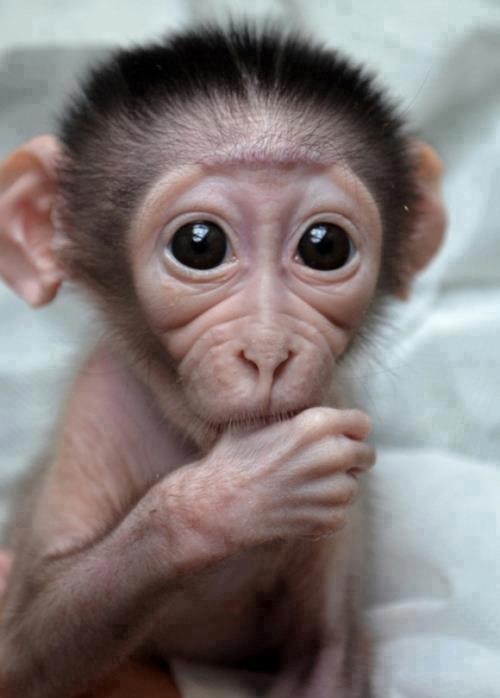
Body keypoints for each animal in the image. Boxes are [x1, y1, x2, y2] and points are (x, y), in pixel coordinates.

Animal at [0, 23, 446, 698]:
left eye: (325, 247)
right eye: (200, 244)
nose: (266, 350)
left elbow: (327, 651)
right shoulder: (95, 404)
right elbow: (20, 653)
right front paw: (233, 494)